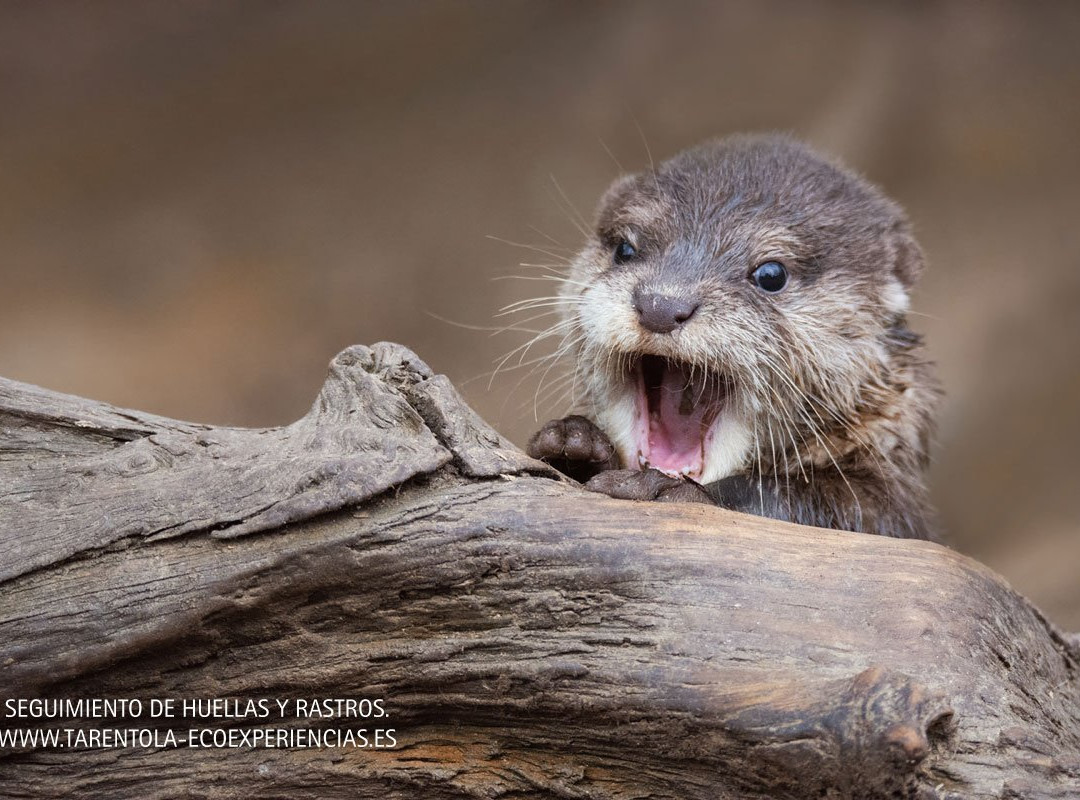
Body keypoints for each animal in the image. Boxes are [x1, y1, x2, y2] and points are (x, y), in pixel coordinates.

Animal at [522, 134, 937, 539]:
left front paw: (665, 489)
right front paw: (574, 442)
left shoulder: (890, 503)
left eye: (771, 274)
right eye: (625, 249)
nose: (660, 304)